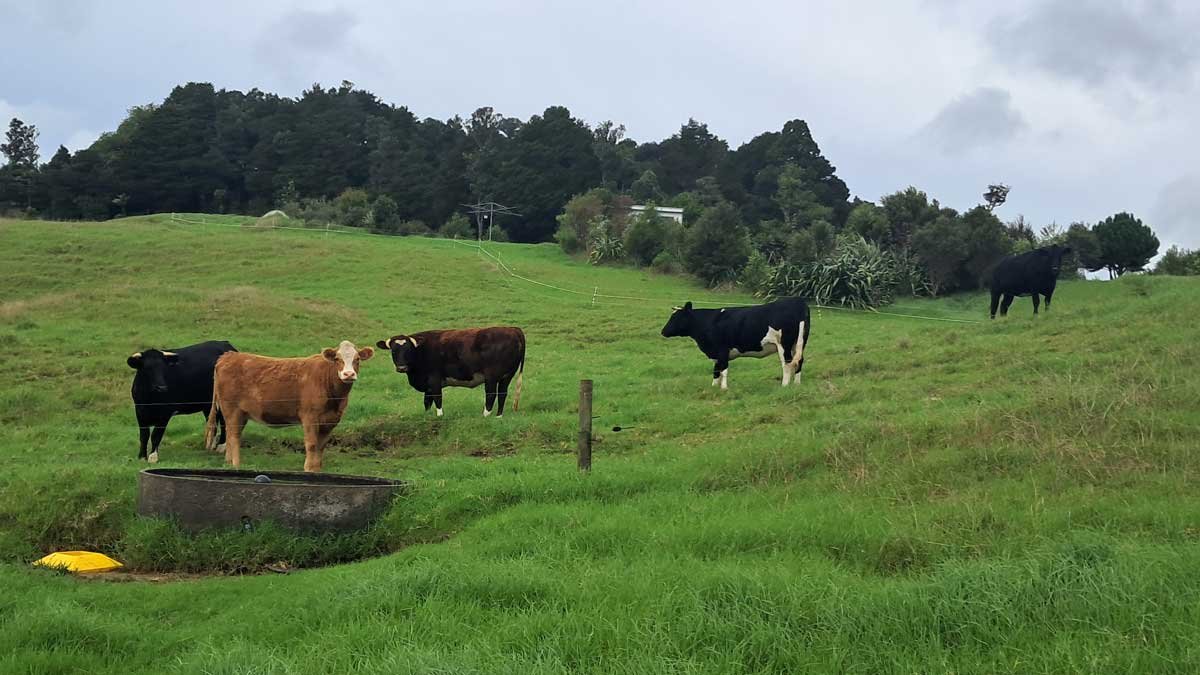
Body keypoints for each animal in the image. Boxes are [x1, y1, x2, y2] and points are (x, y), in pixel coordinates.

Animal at [204, 341, 374, 472]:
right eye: (338, 359)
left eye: (357, 359)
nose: (348, 374)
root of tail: (228, 356)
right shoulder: (310, 417)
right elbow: (312, 445)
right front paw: (308, 469)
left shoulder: (331, 421)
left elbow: (321, 446)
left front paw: (317, 470)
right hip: (232, 410)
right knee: (234, 436)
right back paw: (236, 465)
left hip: (240, 414)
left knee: (230, 436)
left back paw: (229, 463)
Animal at [376, 327, 525, 418]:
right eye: (393, 351)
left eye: (408, 350)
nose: (402, 368)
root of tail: (512, 329)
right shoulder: (427, 385)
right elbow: (427, 402)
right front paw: (427, 416)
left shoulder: (434, 380)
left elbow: (438, 399)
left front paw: (440, 416)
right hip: (507, 376)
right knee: (502, 394)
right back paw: (498, 416)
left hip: (491, 377)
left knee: (491, 395)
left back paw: (485, 415)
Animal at [661, 297, 811, 389]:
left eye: (676, 318)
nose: (663, 331)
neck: (708, 322)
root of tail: (797, 301)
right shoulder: (716, 354)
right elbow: (716, 370)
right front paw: (714, 387)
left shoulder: (722, 350)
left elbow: (724, 369)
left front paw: (724, 388)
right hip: (799, 344)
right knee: (799, 361)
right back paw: (796, 384)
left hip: (784, 345)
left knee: (787, 363)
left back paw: (784, 386)